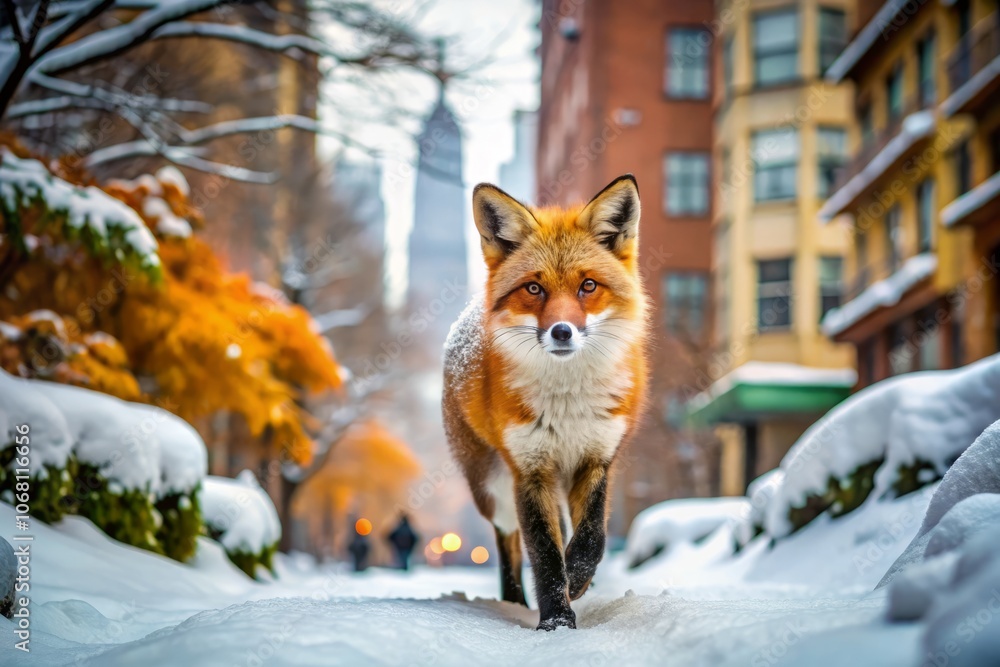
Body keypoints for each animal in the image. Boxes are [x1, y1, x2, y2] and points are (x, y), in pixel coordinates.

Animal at [442, 174, 649, 631]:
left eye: (588, 286)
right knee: (508, 542)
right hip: (493, 487)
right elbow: (544, 554)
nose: (562, 332)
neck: (567, 403)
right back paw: (514, 601)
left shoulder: (596, 458)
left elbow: (591, 537)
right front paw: (555, 620)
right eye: (534, 288)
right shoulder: (530, 469)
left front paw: (579, 580)